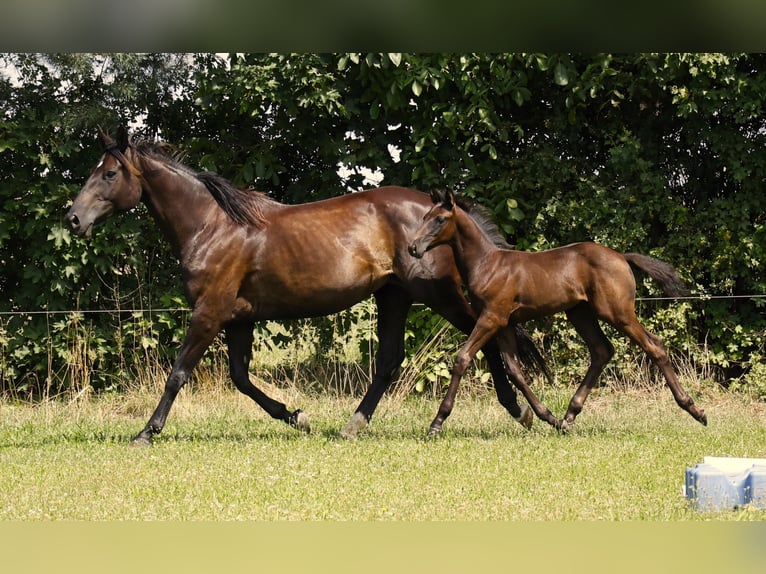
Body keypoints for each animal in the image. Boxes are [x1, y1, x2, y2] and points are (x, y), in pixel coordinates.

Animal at [66, 129, 544, 446]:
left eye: (109, 174)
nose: (72, 219)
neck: (213, 227)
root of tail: (439, 208)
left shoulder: (209, 312)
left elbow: (178, 373)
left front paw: (146, 433)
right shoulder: (238, 319)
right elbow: (241, 378)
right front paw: (297, 417)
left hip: (436, 293)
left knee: (483, 337)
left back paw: (517, 411)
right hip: (394, 295)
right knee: (390, 360)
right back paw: (352, 426)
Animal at [408, 189, 708, 436]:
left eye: (440, 220)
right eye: (424, 217)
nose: (413, 247)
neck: (487, 264)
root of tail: (622, 257)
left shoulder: (492, 318)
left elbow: (462, 359)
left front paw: (437, 423)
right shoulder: (505, 324)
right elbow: (515, 372)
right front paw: (548, 417)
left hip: (616, 313)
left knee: (654, 345)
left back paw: (695, 410)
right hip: (580, 313)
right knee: (602, 350)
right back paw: (569, 416)